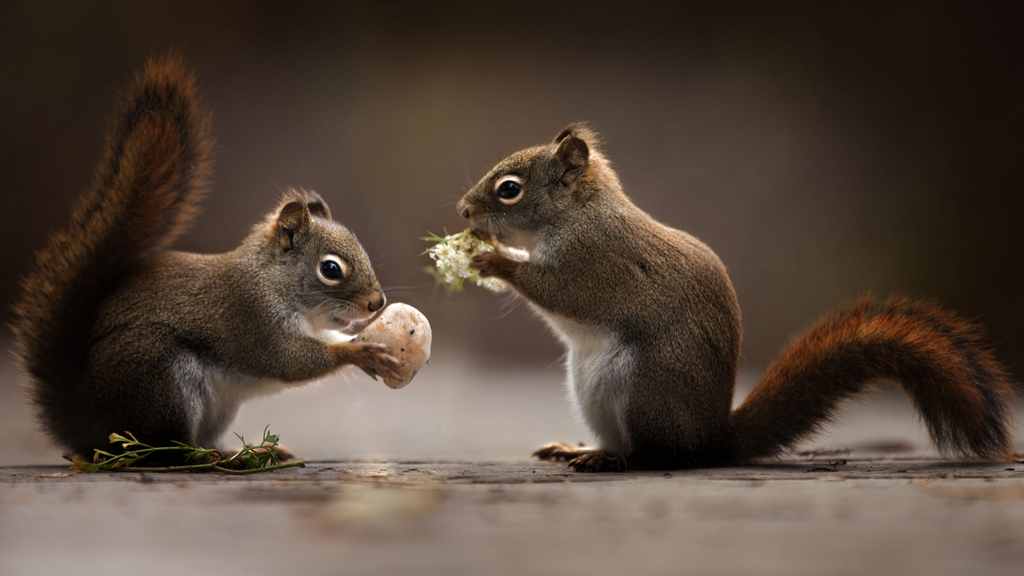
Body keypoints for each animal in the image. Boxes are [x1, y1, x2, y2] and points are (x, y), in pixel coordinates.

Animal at [12, 53, 403, 457]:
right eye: (330, 269)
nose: (376, 303)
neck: (273, 280)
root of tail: (90, 422)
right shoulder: (253, 316)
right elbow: (290, 361)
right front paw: (359, 353)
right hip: (164, 380)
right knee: (168, 449)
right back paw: (220, 457)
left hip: (215, 407)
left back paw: (248, 452)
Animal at [458, 123, 1015, 469]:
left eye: (509, 189)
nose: (464, 211)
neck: (579, 212)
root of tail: (712, 437)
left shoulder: (592, 261)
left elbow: (557, 291)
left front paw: (492, 259)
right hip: (589, 387)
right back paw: (577, 448)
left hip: (640, 388)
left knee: (659, 455)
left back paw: (610, 458)